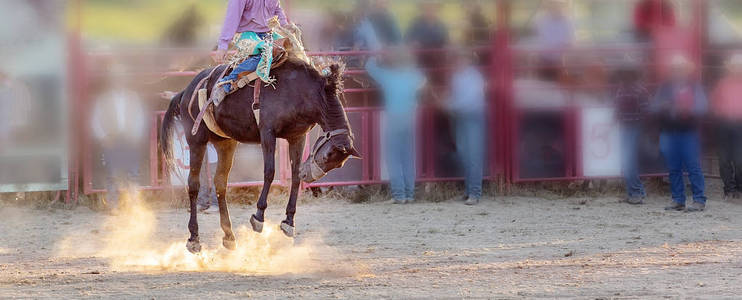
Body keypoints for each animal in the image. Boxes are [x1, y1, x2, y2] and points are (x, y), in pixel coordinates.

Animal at [161, 56, 362, 253]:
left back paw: (229, 236)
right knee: (193, 184)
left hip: (225, 143)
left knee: (220, 183)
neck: (303, 91)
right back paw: (194, 239)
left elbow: (295, 176)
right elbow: (269, 172)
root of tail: (185, 92)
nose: (309, 175)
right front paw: (258, 217)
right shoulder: (267, 132)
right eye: (328, 155)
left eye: (340, 165)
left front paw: (289, 222)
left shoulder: (297, 136)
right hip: (197, 140)